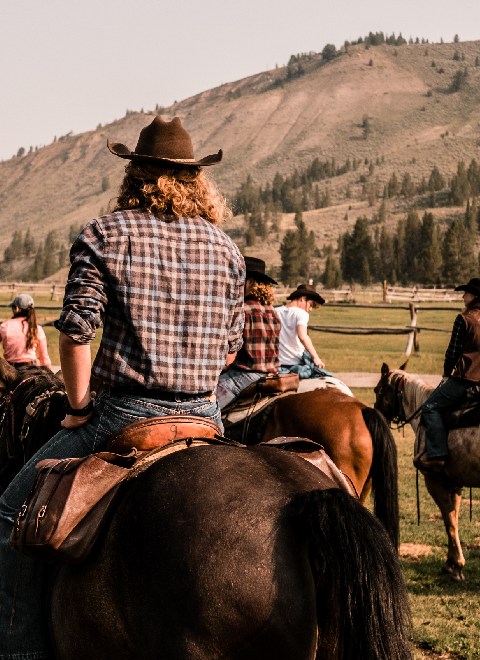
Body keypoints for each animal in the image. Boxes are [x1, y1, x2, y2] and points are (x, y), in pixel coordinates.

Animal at [374, 364, 480, 580]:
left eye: (378, 390)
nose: (376, 415)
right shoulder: (453, 483)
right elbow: (454, 518)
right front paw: (451, 563)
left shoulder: (433, 481)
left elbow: (449, 522)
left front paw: (456, 566)